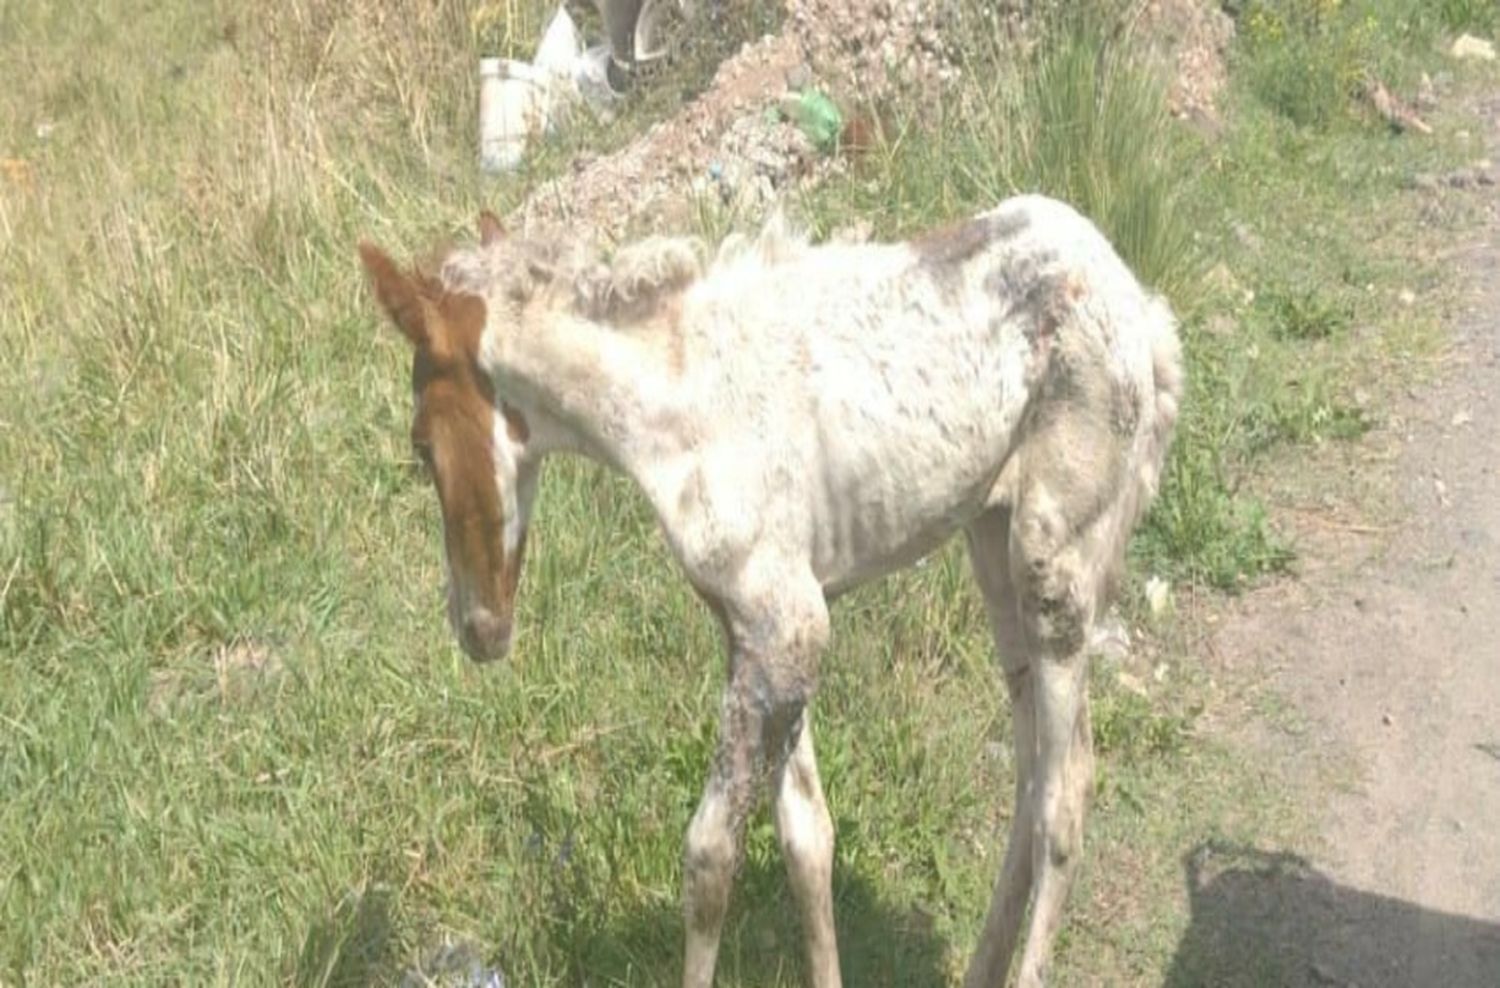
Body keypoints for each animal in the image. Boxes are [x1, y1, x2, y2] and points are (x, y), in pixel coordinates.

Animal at [360, 194, 1182, 988]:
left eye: (421, 443)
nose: (479, 628)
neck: (683, 401)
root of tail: (1141, 309)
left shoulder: (787, 624)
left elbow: (708, 856)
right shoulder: (756, 632)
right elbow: (806, 839)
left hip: (1052, 560)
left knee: (1066, 791)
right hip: (993, 545)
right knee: (1031, 773)